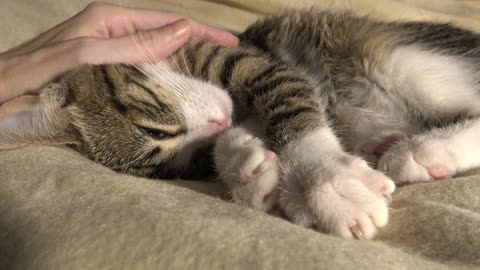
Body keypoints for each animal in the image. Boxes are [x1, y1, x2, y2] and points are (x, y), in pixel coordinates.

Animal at [0, 9, 480, 239]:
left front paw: (325, 183)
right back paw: (390, 142)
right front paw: (250, 171)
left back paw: (423, 150)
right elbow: (237, 138)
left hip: (390, 57)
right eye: (189, 162)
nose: (218, 119)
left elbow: (289, 97)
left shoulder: (250, 58)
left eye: (157, 129)